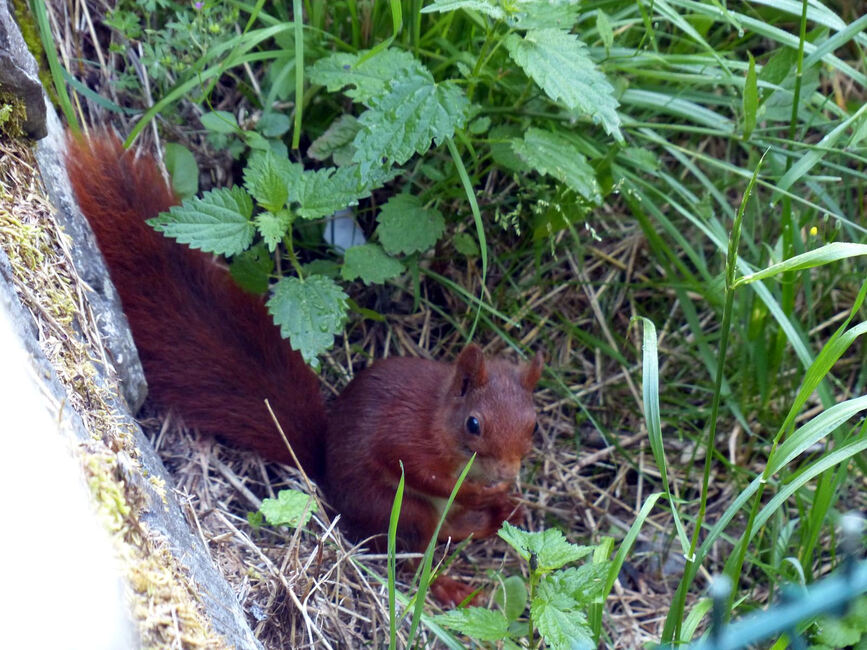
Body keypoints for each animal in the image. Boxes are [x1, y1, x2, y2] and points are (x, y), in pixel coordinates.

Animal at [66, 130, 544, 604]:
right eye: (473, 424)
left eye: (534, 425)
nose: (508, 473)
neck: (440, 423)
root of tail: (325, 472)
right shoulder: (408, 438)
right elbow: (421, 473)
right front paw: (478, 490)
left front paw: (505, 493)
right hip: (394, 508)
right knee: (419, 547)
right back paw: (456, 585)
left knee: (456, 532)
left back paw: (503, 514)